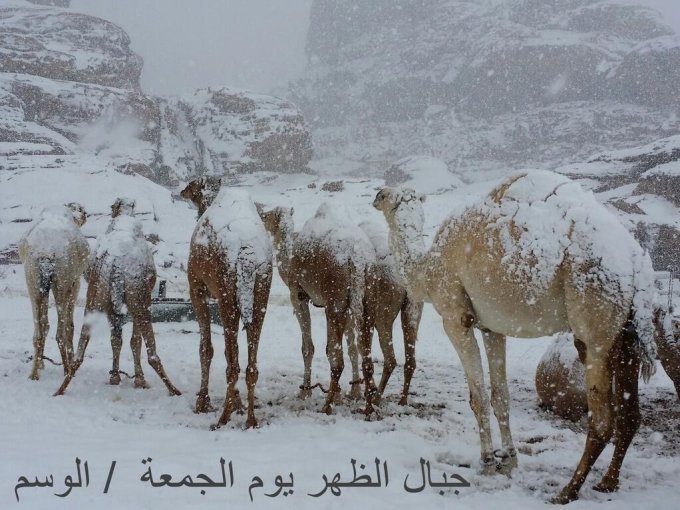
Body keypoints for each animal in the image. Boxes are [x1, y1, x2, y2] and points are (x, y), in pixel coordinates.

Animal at [18, 202, 89, 378]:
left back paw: (34, 374)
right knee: (60, 331)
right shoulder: (75, 282)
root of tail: (46, 252)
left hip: (32, 278)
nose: (85, 214)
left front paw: (41, 364)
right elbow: (70, 326)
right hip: (62, 279)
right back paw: (67, 369)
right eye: (81, 210)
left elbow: (45, 324)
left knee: (38, 330)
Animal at [54, 197, 181, 396]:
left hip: (96, 296)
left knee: (83, 344)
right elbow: (134, 341)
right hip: (139, 298)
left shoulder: (109, 304)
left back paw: (61, 388)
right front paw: (139, 379)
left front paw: (115, 377)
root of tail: (116, 264)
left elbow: (116, 339)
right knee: (152, 353)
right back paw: (174, 389)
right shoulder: (138, 299)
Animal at [183, 183, 276, 430]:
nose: (181, 192)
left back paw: (222, 418)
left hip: (227, 292)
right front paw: (238, 405)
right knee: (250, 362)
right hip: (261, 292)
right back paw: (251, 419)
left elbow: (206, 348)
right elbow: (227, 351)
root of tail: (246, 253)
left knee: (232, 364)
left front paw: (202, 402)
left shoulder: (196, 287)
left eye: (190, 188)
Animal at [258, 203, 380, 414]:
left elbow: (310, 348)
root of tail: (356, 258)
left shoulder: (298, 296)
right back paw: (369, 402)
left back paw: (327, 405)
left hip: (334, 300)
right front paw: (352, 392)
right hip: (365, 296)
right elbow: (351, 348)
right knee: (364, 351)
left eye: (268, 216)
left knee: (337, 358)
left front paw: (305, 393)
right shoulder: (348, 306)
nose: (261, 214)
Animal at [372, 170, 660, 502]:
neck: (428, 267)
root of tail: (635, 261)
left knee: (602, 418)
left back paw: (568, 490)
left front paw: (487, 460)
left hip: (594, 316)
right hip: (626, 332)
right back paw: (608, 482)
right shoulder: (491, 327)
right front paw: (509, 458)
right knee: (630, 411)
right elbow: (501, 395)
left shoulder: (456, 317)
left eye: (388, 196)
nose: (375, 195)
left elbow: (478, 396)